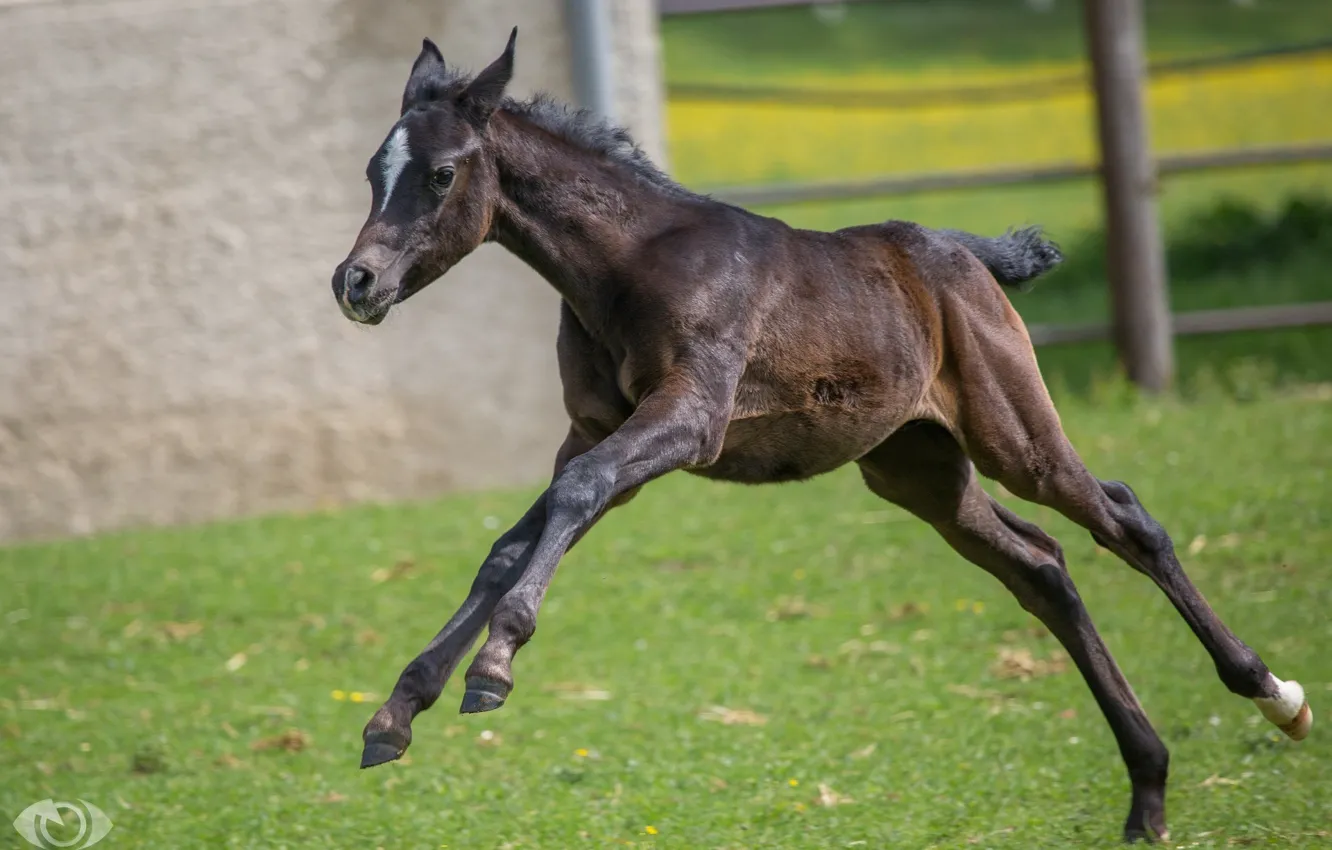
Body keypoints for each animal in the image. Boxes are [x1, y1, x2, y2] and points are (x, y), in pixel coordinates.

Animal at [330, 28, 1310, 842]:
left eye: (441, 174)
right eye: (375, 171)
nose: (355, 282)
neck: (626, 268)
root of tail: (959, 251)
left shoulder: (688, 419)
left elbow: (572, 500)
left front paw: (494, 666)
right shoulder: (597, 432)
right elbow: (512, 542)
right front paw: (397, 712)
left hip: (1012, 436)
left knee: (1126, 521)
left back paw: (1275, 696)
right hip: (918, 470)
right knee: (1041, 568)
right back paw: (1147, 794)